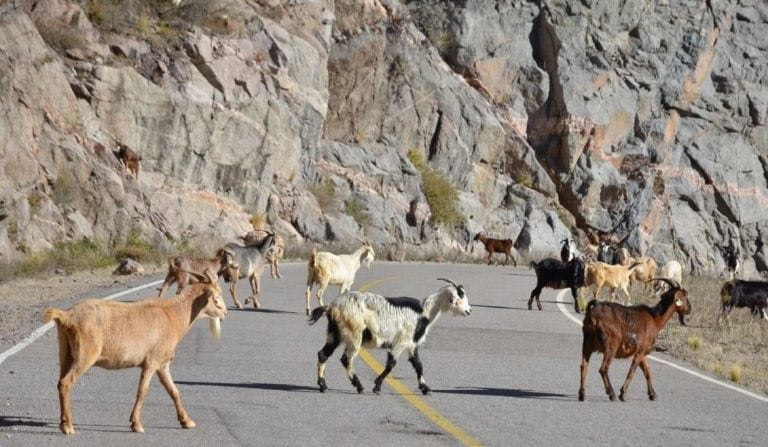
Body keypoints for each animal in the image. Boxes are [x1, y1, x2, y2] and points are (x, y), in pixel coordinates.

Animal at [43, 270, 226, 434]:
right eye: (218, 294)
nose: (224, 313)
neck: (173, 315)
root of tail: (66, 316)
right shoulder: (152, 362)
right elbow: (142, 391)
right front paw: (136, 424)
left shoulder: (162, 365)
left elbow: (174, 391)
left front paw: (186, 421)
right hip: (85, 355)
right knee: (66, 383)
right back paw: (68, 426)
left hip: (65, 353)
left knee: (60, 382)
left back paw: (63, 423)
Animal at [308, 278, 472, 398]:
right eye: (460, 296)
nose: (469, 311)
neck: (424, 312)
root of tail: (331, 307)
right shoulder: (401, 342)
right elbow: (391, 364)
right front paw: (377, 386)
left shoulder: (412, 345)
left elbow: (418, 365)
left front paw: (426, 388)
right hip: (354, 335)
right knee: (346, 359)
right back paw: (360, 387)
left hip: (334, 334)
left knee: (323, 354)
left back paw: (323, 385)